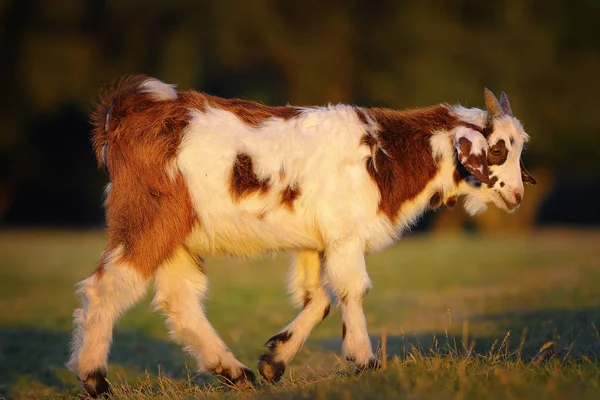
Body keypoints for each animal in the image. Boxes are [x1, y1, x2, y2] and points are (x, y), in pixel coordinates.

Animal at [68, 76, 536, 396]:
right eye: (498, 149)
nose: (516, 194)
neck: (383, 152)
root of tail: (128, 108)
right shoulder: (345, 236)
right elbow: (351, 291)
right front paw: (364, 361)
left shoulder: (314, 242)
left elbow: (319, 299)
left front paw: (274, 361)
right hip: (146, 219)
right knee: (105, 286)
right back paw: (95, 379)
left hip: (176, 235)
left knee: (178, 299)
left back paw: (235, 372)